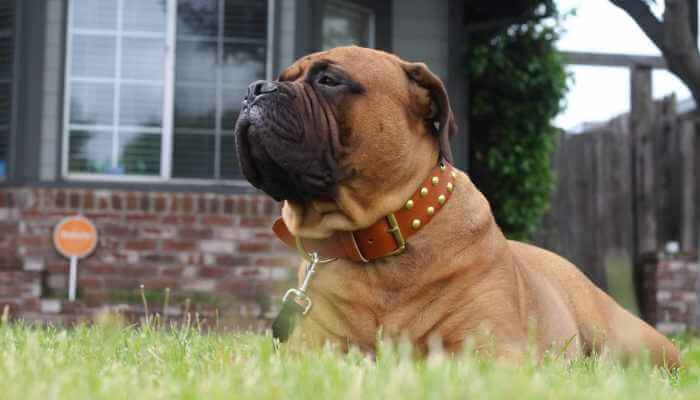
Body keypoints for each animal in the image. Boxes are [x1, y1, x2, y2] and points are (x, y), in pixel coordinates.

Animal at [232, 45, 680, 368]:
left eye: (329, 79)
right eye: (280, 79)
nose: (254, 88)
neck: (378, 237)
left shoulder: (493, 350)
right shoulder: (311, 350)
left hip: (632, 340)